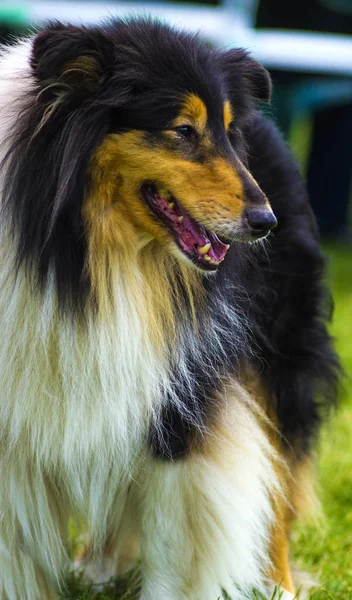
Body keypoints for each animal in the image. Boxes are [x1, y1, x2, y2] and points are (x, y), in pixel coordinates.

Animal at [0, 18, 340, 600]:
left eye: (226, 132)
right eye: (183, 129)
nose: (264, 222)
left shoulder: (184, 398)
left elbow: (176, 543)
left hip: (277, 356)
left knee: (281, 475)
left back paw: (278, 583)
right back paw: (98, 566)